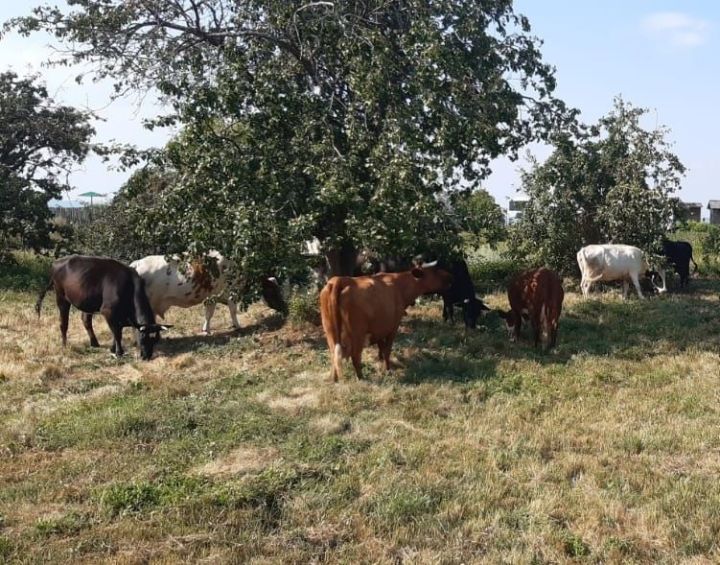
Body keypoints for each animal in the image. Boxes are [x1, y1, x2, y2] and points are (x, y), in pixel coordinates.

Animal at [35, 254, 169, 360]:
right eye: (143, 337)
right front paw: (119, 352)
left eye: (155, 340)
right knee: (63, 323)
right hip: (61, 297)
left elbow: (118, 330)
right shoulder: (108, 311)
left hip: (87, 301)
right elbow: (117, 332)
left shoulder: (120, 316)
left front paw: (113, 349)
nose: (147, 356)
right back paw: (64, 345)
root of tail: (57, 261)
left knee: (86, 320)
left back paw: (94, 343)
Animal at [129, 249, 286, 332]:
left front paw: (206, 328)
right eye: (273, 291)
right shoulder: (227, 293)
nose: (285, 308)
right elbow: (230, 310)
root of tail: (136, 264)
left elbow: (209, 313)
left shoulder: (212, 296)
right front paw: (237, 326)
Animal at [320, 264, 450, 378]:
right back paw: (361, 378)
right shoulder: (393, 325)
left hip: (330, 331)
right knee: (355, 355)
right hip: (357, 332)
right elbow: (387, 349)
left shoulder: (379, 328)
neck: (400, 285)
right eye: (435, 271)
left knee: (333, 354)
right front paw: (388, 369)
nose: (450, 276)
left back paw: (334, 379)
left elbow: (381, 347)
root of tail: (341, 279)